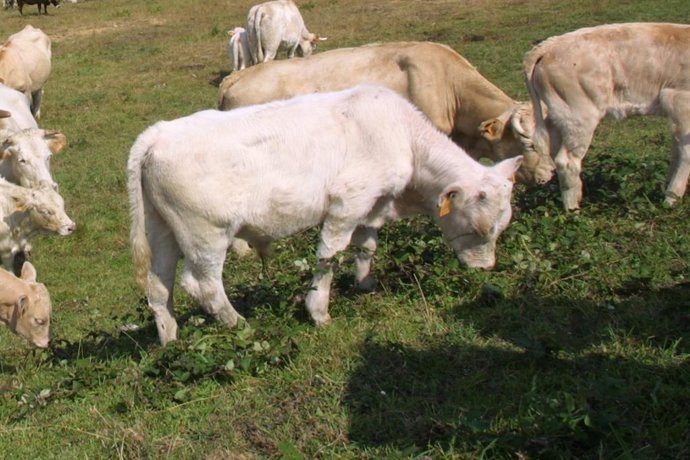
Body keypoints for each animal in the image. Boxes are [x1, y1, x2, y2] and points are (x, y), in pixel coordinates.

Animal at [129, 85, 522, 345]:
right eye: (481, 228)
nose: (486, 268)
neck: (403, 137)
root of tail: (159, 133)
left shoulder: (372, 205)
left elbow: (367, 246)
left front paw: (365, 283)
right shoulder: (347, 204)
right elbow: (329, 258)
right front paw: (318, 311)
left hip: (163, 230)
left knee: (158, 286)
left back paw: (170, 339)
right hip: (206, 233)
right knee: (203, 285)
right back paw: (239, 323)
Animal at [524, 22, 690, 210]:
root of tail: (550, 45)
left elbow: (676, 152)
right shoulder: (680, 102)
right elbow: (686, 154)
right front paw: (671, 199)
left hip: (557, 117)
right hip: (579, 117)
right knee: (567, 162)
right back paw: (572, 210)